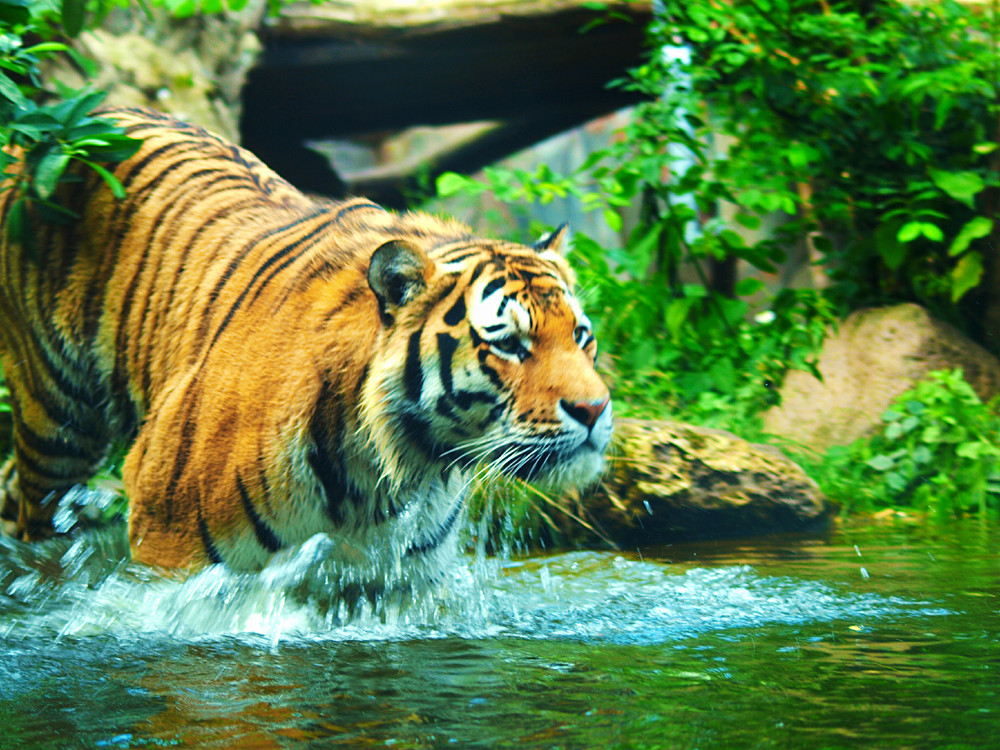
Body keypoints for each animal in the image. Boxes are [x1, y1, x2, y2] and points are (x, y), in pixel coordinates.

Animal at [0, 107, 608, 588]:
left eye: (582, 337)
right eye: (509, 343)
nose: (596, 409)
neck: (386, 471)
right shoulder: (167, 542)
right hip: (56, 426)